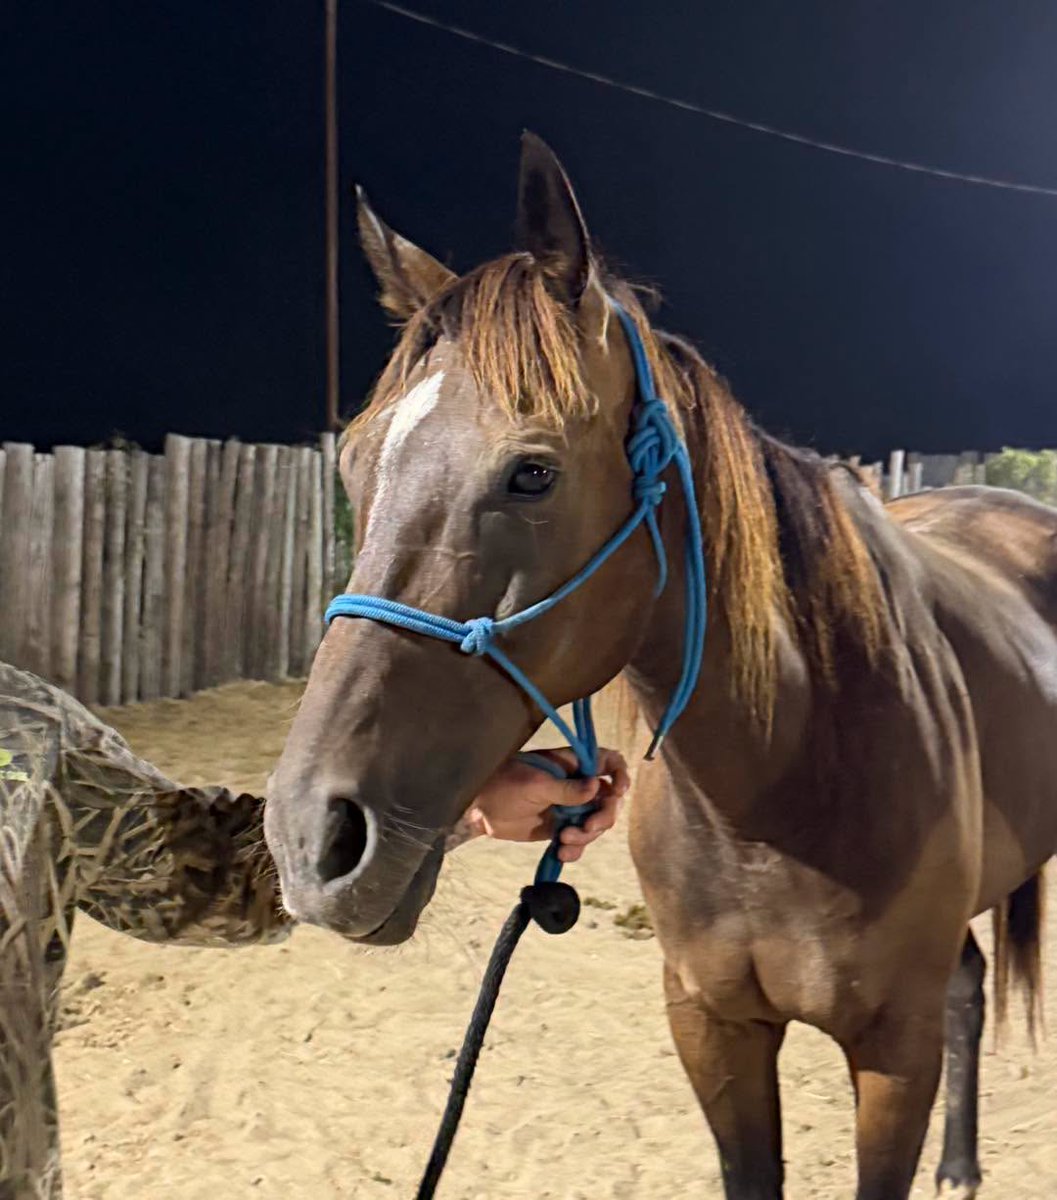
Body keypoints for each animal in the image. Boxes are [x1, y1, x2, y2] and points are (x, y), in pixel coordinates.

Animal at [263, 134, 1055, 1199]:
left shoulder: (893, 1053)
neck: (787, 781)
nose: (311, 839)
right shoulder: (711, 1029)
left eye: (532, 472)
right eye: (353, 465)